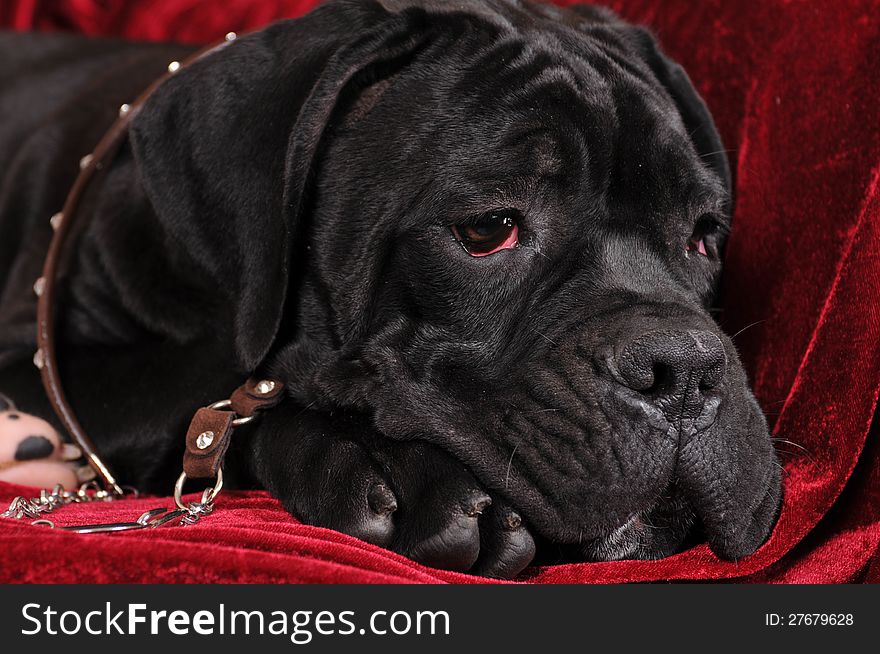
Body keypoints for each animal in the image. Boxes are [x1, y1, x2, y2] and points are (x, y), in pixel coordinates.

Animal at [0, 0, 784, 580]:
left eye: (704, 234)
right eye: (488, 229)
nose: (685, 368)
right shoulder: (41, 361)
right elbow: (240, 386)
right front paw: (394, 466)